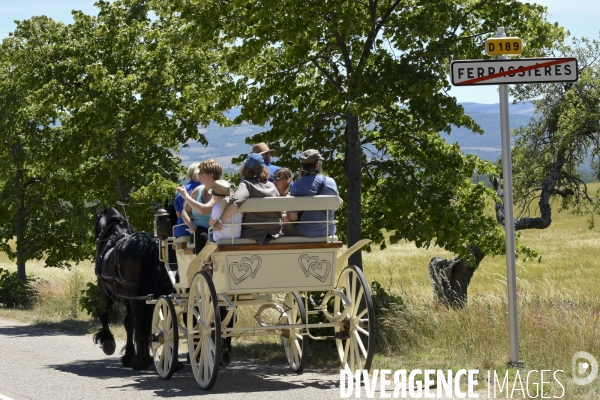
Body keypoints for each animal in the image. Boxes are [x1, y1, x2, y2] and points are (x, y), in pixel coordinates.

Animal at [94, 208, 173, 370]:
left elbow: (104, 314)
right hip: (161, 290)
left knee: (139, 320)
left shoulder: (105, 291)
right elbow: (129, 324)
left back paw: (141, 361)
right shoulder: (128, 298)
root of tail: (147, 243)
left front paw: (108, 342)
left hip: (136, 295)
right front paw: (128, 355)